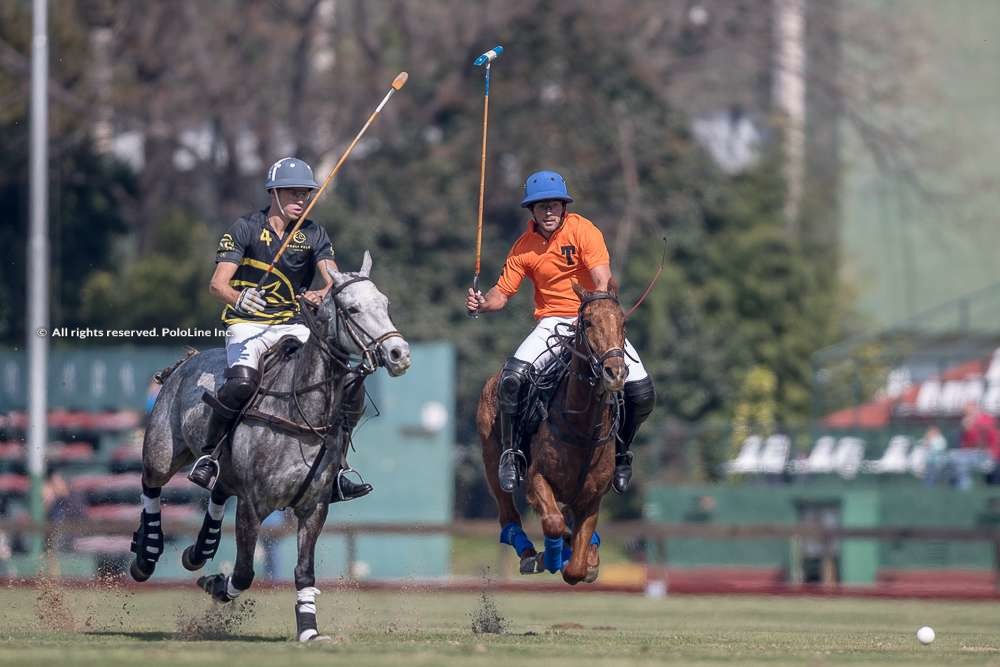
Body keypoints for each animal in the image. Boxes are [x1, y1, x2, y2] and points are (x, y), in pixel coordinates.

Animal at [130, 252, 410, 640]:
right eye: (352, 309)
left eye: (384, 304)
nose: (399, 354)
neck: (301, 410)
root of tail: (187, 360)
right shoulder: (253, 505)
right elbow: (245, 572)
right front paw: (217, 585)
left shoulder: (314, 507)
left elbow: (304, 572)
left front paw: (308, 629)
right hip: (162, 450)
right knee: (151, 483)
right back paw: (146, 555)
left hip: (225, 470)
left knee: (218, 488)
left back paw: (198, 551)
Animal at [476, 284, 624, 588]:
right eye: (587, 322)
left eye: (623, 322)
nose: (615, 372)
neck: (583, 428)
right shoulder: (538, 478)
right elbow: (554, 524)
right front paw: (549, 557)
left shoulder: (593, 498)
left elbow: (576, 569)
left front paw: (586, 559)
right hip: (491, 457)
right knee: (508, 514)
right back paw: (529, 553)